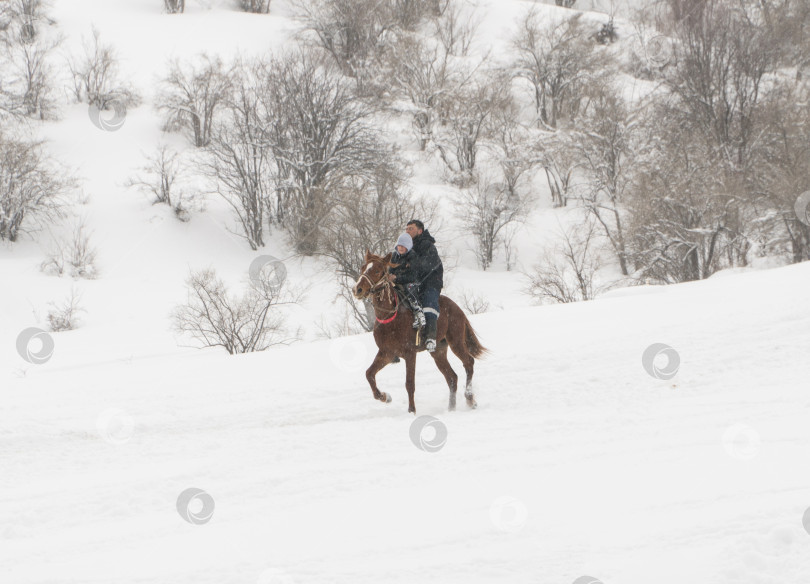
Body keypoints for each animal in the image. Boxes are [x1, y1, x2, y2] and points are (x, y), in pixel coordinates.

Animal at [348, 251, 486, 416]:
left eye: (376, 270)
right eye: (363, 268)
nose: (357, 289)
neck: (390, 316)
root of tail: (457, 308)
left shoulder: (409, 353)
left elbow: (409, 383)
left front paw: (411, 411)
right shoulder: (386, 353)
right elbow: (369, 374)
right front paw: (385, 397)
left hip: (456, 342)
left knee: (468, 363)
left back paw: (470, 398)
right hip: (438, 351)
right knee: (452, 377)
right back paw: (451, 408)